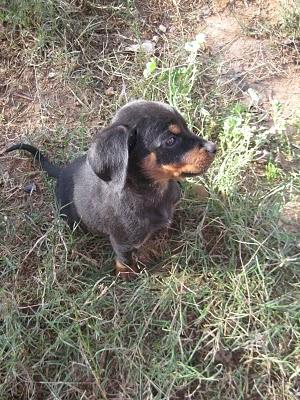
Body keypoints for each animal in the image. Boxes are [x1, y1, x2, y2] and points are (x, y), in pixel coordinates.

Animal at [4, 101, 216, 278]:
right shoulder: (123, 243)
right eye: (170, 140)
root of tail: (62, 172)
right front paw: (127, 276)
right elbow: (125, 261)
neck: (151, 190)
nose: (214, 147)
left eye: (186, 127)